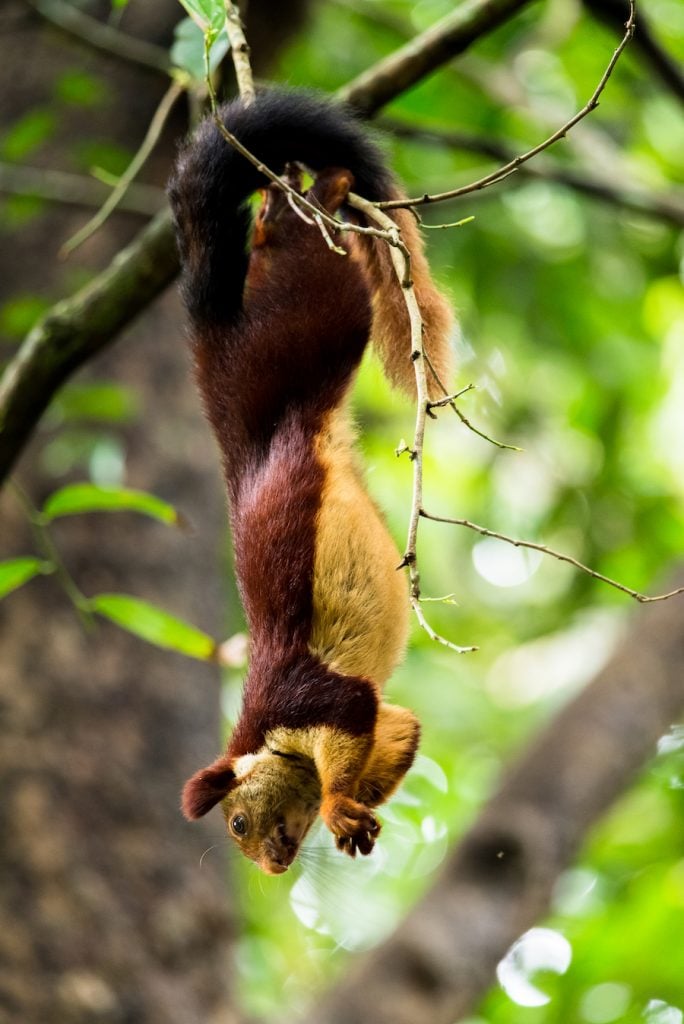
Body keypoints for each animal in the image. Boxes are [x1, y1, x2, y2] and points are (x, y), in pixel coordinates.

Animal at [168, 88, 453, 875]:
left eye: (238, 821)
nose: (271, 865)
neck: (269, 737)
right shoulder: (379, 713)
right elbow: (401, 727)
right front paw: (354, 815)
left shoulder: (311, 699)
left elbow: (350, 725)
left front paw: (332, 804)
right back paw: (275, 208)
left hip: (307, 322)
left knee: (316, 269)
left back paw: (315, 197)